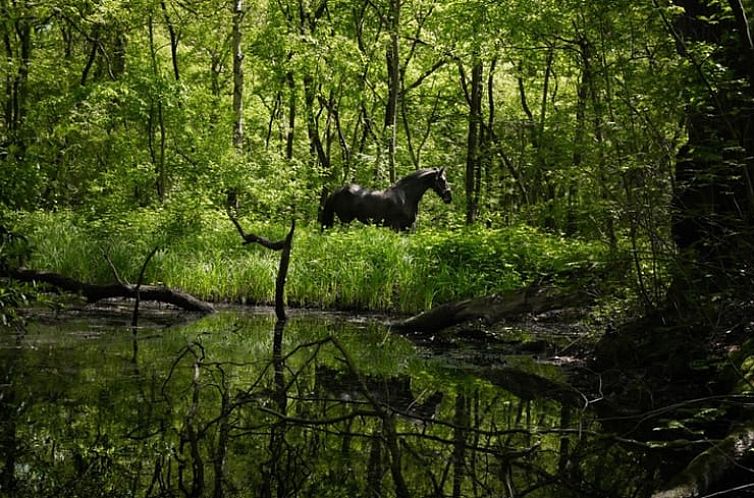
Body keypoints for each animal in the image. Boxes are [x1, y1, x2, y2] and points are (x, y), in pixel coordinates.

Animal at [318, 166, 450, 231]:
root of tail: (336, 192)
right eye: (443, 180)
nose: (449, 197)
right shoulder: (397, 227)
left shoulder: (407, 227)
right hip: (345, 221)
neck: (406, 196)